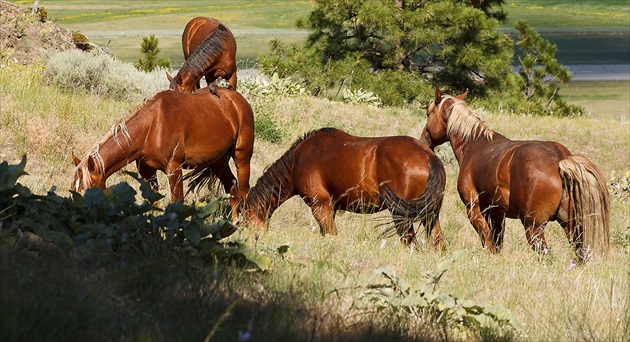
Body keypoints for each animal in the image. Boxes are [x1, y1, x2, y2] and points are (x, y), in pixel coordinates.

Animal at [242, 126, 450, 248]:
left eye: (245, 219)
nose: (251, 238)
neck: (298, 162)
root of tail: (428, 156)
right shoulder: (329, 208)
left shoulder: (321, 206)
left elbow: (331, 235)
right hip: (430, 215)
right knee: (437, 242)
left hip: (402, 216)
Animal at [420, 87, 612, 260]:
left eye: (428, 114)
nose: (423, 140)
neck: (474, 145)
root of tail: (558, 160)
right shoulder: (497, 214)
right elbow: (497, 244)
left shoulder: (474, 210)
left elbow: (487, 242)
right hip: (570, 226)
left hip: (533, 228)